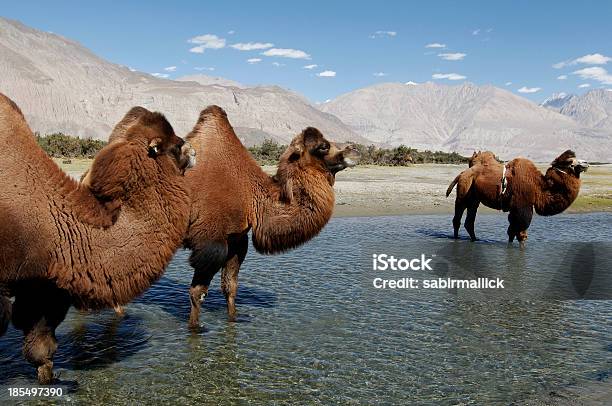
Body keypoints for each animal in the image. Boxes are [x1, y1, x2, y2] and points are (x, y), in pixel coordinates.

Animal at [182, 105, 360, 326]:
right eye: (323, 146)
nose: (354, 150)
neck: (252, 197)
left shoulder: (237, 239)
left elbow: (230, 289)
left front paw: (234, 321)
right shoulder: (211, 242)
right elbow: (197, 293)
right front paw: (195, 329)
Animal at [448, 148, 592, 244]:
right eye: (569, 161)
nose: (586, 163)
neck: (539, 186)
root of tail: (462, 173)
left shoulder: (515, 208)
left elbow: (512, 231)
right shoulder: (523, 206)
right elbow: (521, 232)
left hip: (475, 198)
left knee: (469, 220)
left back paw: (474, 239)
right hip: (464, 191)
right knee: (457, 216)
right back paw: (456, 240)